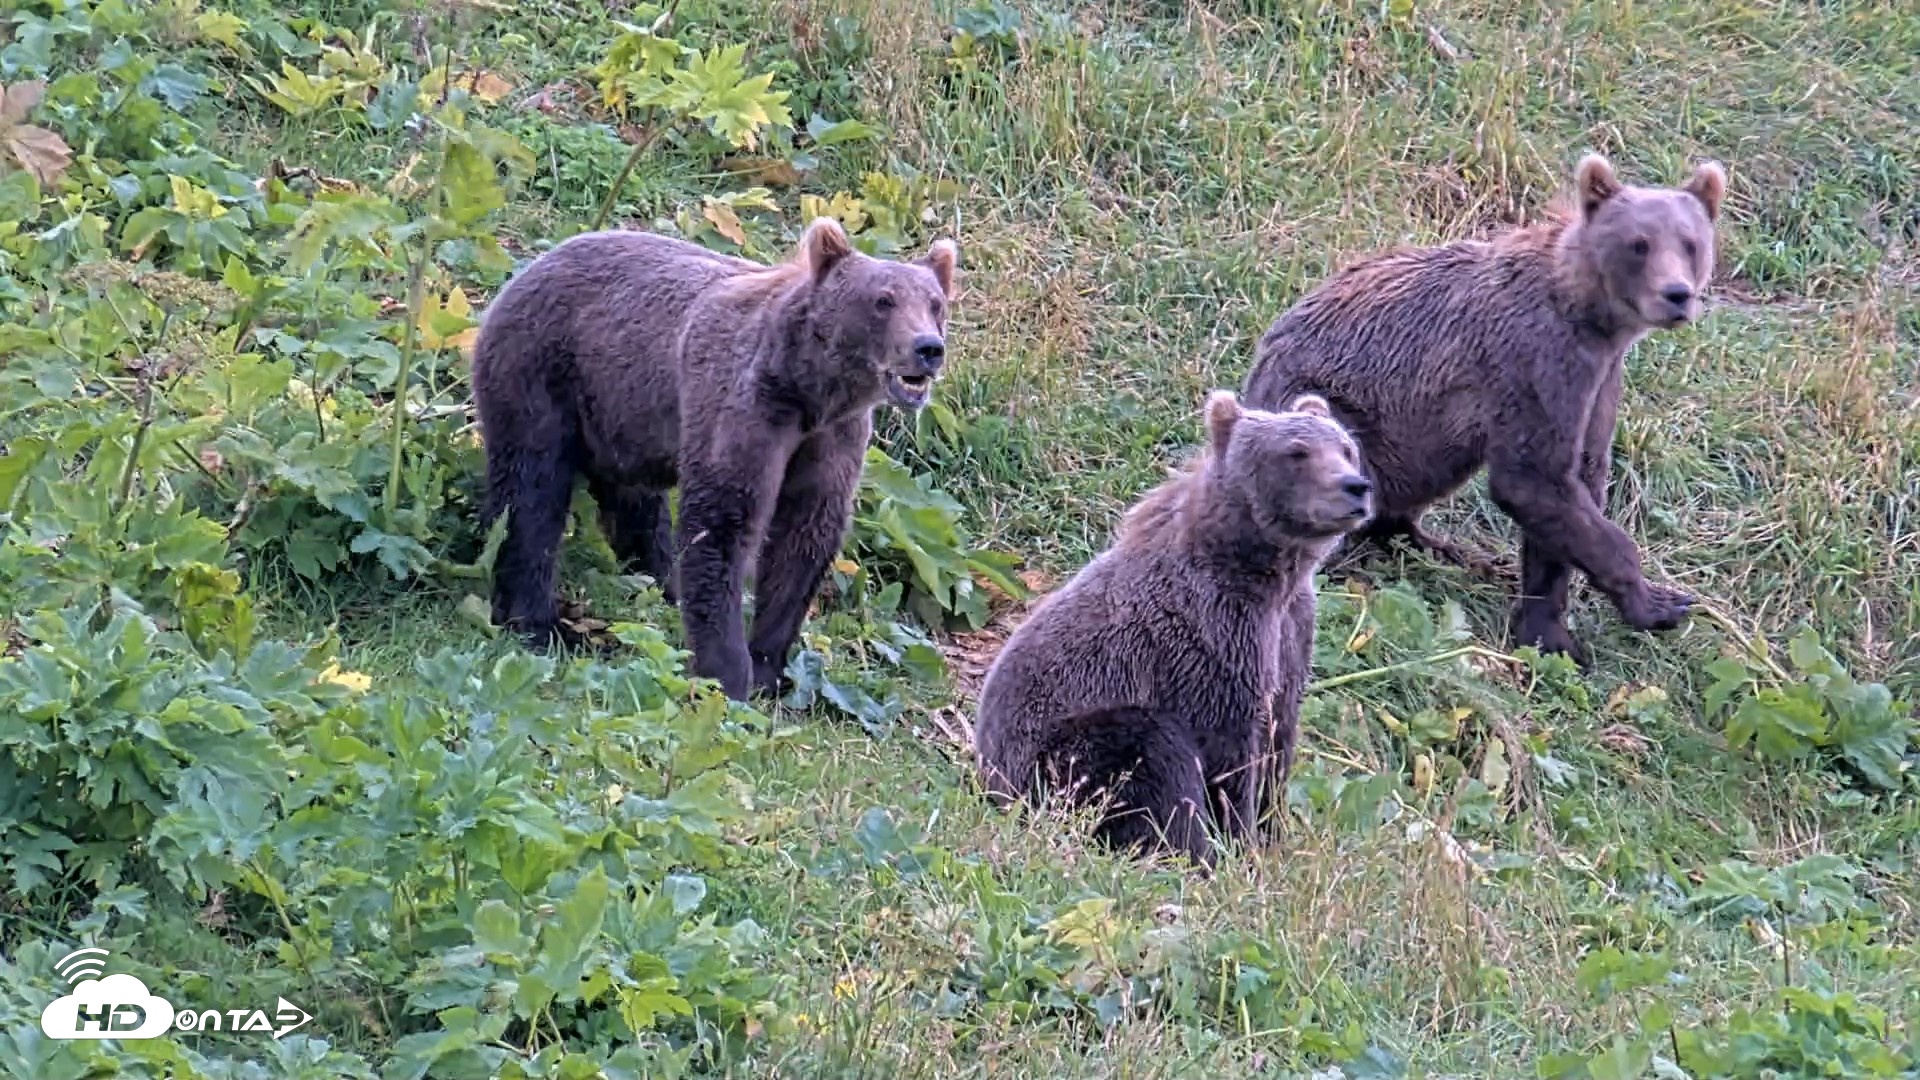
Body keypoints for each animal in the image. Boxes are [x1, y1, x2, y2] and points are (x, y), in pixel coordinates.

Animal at [469, 216, 959, 701]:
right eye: (883, 300)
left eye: (935, 303)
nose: (928, 348)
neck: (809, 389)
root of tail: (524, 272)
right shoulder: (746, 406)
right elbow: (723, 522)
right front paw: (727, 673)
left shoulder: (832, 437)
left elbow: (804, 535)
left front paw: (768, 666)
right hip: (540, 371)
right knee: (531, 494)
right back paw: (540, 623)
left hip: (619, 413)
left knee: (634, 504)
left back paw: (660, 581)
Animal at [972, 390, 1373, 868]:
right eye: (1296, 452)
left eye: (1346, 448)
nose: (1356, 487)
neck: (1266, 572)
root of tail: (990, 781)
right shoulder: (1211, 639)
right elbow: (1228, 753)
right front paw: (1238, 846)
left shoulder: (1291, 631)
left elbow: (1279, 738)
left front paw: (1274, 836)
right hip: (1056, 758)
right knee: (1152, 752)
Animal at [1241, 152, 1726, 664]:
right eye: (1639, 244)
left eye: (1691, 244)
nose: (1676, 294)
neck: (1592, 317)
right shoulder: (1535, 365)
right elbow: (1533, 479)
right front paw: (1659, 604)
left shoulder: (1598, 382)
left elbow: (1571, 487)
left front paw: (1547, 630)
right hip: (1342, 411)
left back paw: (1444, 547)